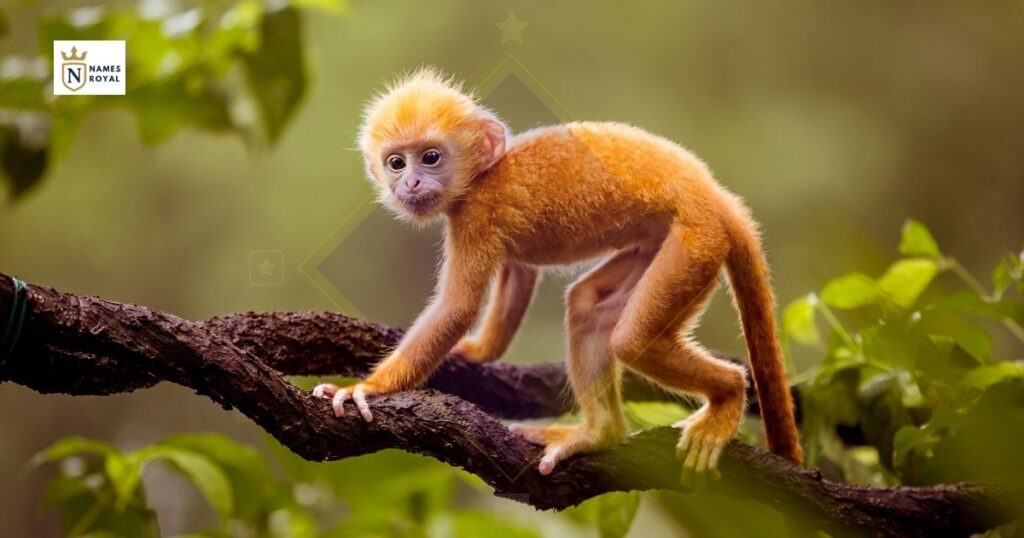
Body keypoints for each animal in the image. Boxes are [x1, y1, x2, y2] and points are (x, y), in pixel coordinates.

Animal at [312, 68, 802, 483]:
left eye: (430, 157)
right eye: (396, 163)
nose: (409, 183)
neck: (483, 175)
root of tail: (715, 196)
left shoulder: (477, 215)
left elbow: (457, 308)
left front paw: (367, 389)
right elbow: (519, 272)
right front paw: (475, 351)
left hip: (697, 242)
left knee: (633, 339)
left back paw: (728, 395)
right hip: (670, 243)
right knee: (589, 307)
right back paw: (600, 433)